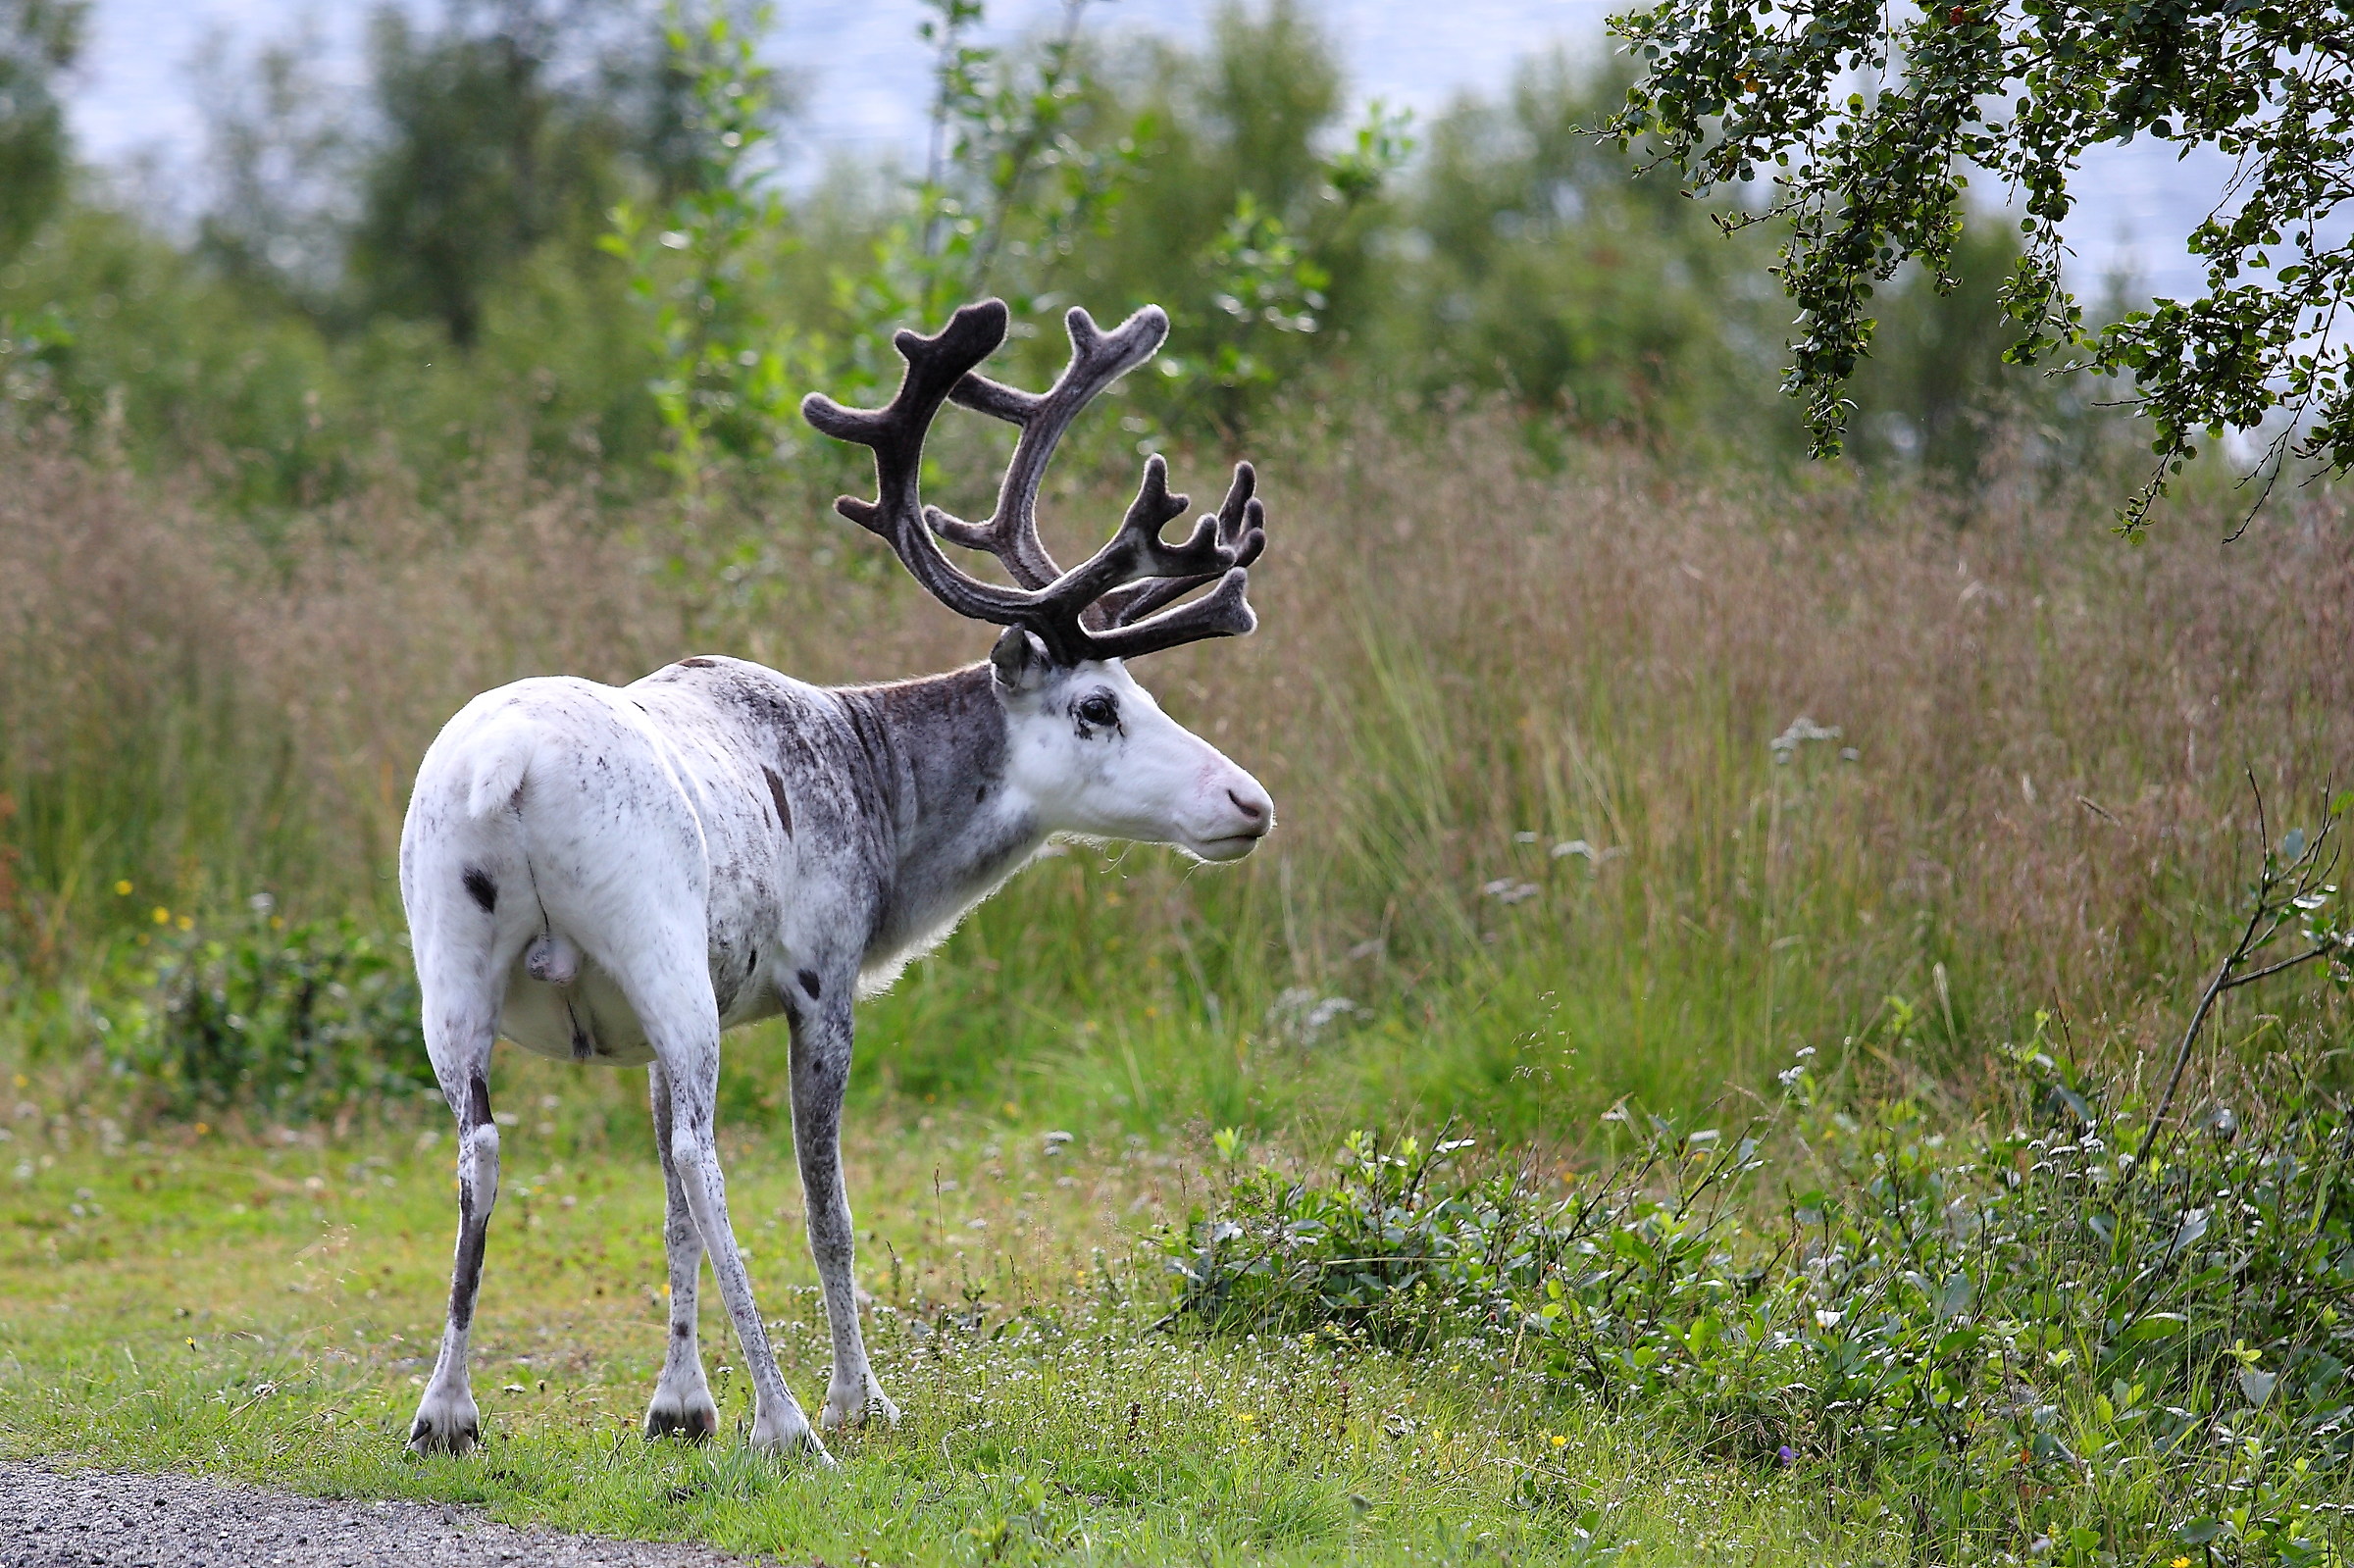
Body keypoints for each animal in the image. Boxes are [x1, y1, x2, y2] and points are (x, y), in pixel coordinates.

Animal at [397, 298, 1274, 1462]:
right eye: (1098, 706)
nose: (1249, 802)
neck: (886, 809)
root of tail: (507, 768)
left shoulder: (640, 1023)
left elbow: (666, 1208)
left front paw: (679, 1404)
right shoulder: (822, 982)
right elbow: (827, 1210)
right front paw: (857, 1400)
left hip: (451, 962)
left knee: (485, 1147)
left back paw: (446, 1411)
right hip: (658, 943)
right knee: (705, 1157)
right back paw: (788, 1422)